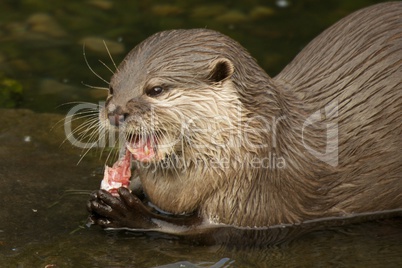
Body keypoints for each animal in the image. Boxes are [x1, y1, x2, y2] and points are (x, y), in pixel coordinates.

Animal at [86, 1, 400, 241]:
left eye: (156, 89)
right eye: (112, 87)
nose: (115, 112)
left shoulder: (258, 191)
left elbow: (201, 230)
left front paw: (127, 213)